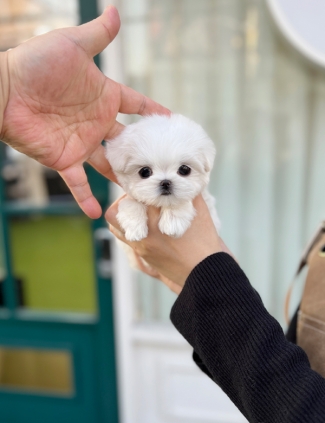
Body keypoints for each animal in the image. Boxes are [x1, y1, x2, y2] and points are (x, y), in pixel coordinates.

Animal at [105, 113, 219, 242]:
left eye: (185, 170)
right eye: (144, 172)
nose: (165, 182)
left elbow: (178, 201)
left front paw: (173, 222)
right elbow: (129, 203)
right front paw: (135, 229)